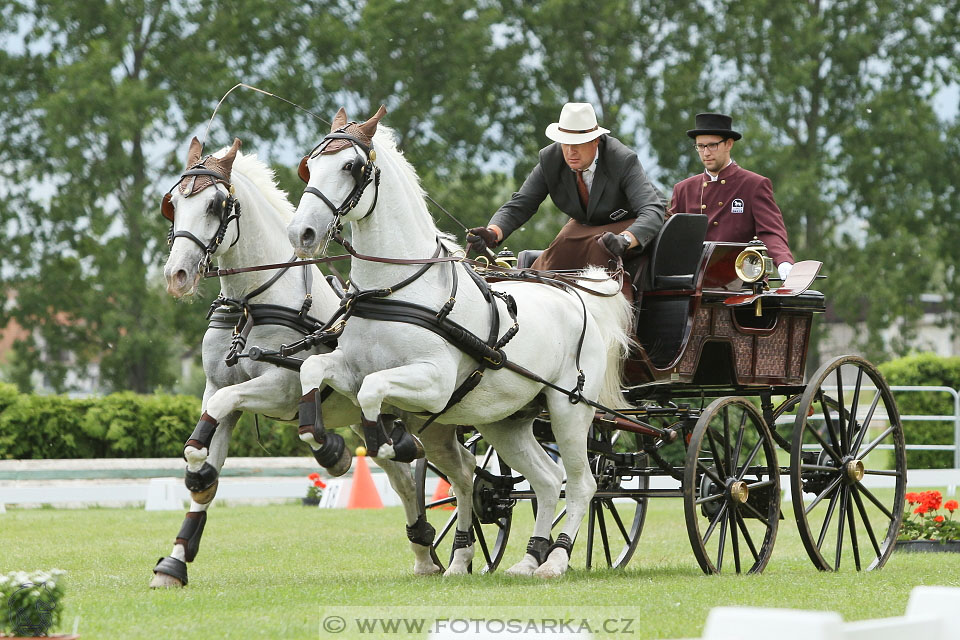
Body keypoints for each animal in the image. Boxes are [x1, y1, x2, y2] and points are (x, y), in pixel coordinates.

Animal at [154, 138, 442, 588]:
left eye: (215, 205)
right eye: (173, 205)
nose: (176, 275)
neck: (250, 306)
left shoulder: (282, 390)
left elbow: (225, 409)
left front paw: (335, 454)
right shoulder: (217, 387)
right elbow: (203, 465)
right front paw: (175, 562)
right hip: (369, 417)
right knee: (403, 478)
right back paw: (424, 552)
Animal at [284, 107, 632, 576]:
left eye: (350, 167)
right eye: (310, 165)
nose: (301, 233)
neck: (396, 291)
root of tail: (579, 295)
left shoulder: (433, 383)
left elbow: (375, 393)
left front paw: (392, 441)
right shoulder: (352, 369)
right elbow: (313, 367)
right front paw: (322, 441)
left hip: (569, 411)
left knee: (583, 485)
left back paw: (556, 559)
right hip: (506, 421)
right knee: (546, 479)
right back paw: (529, 559)